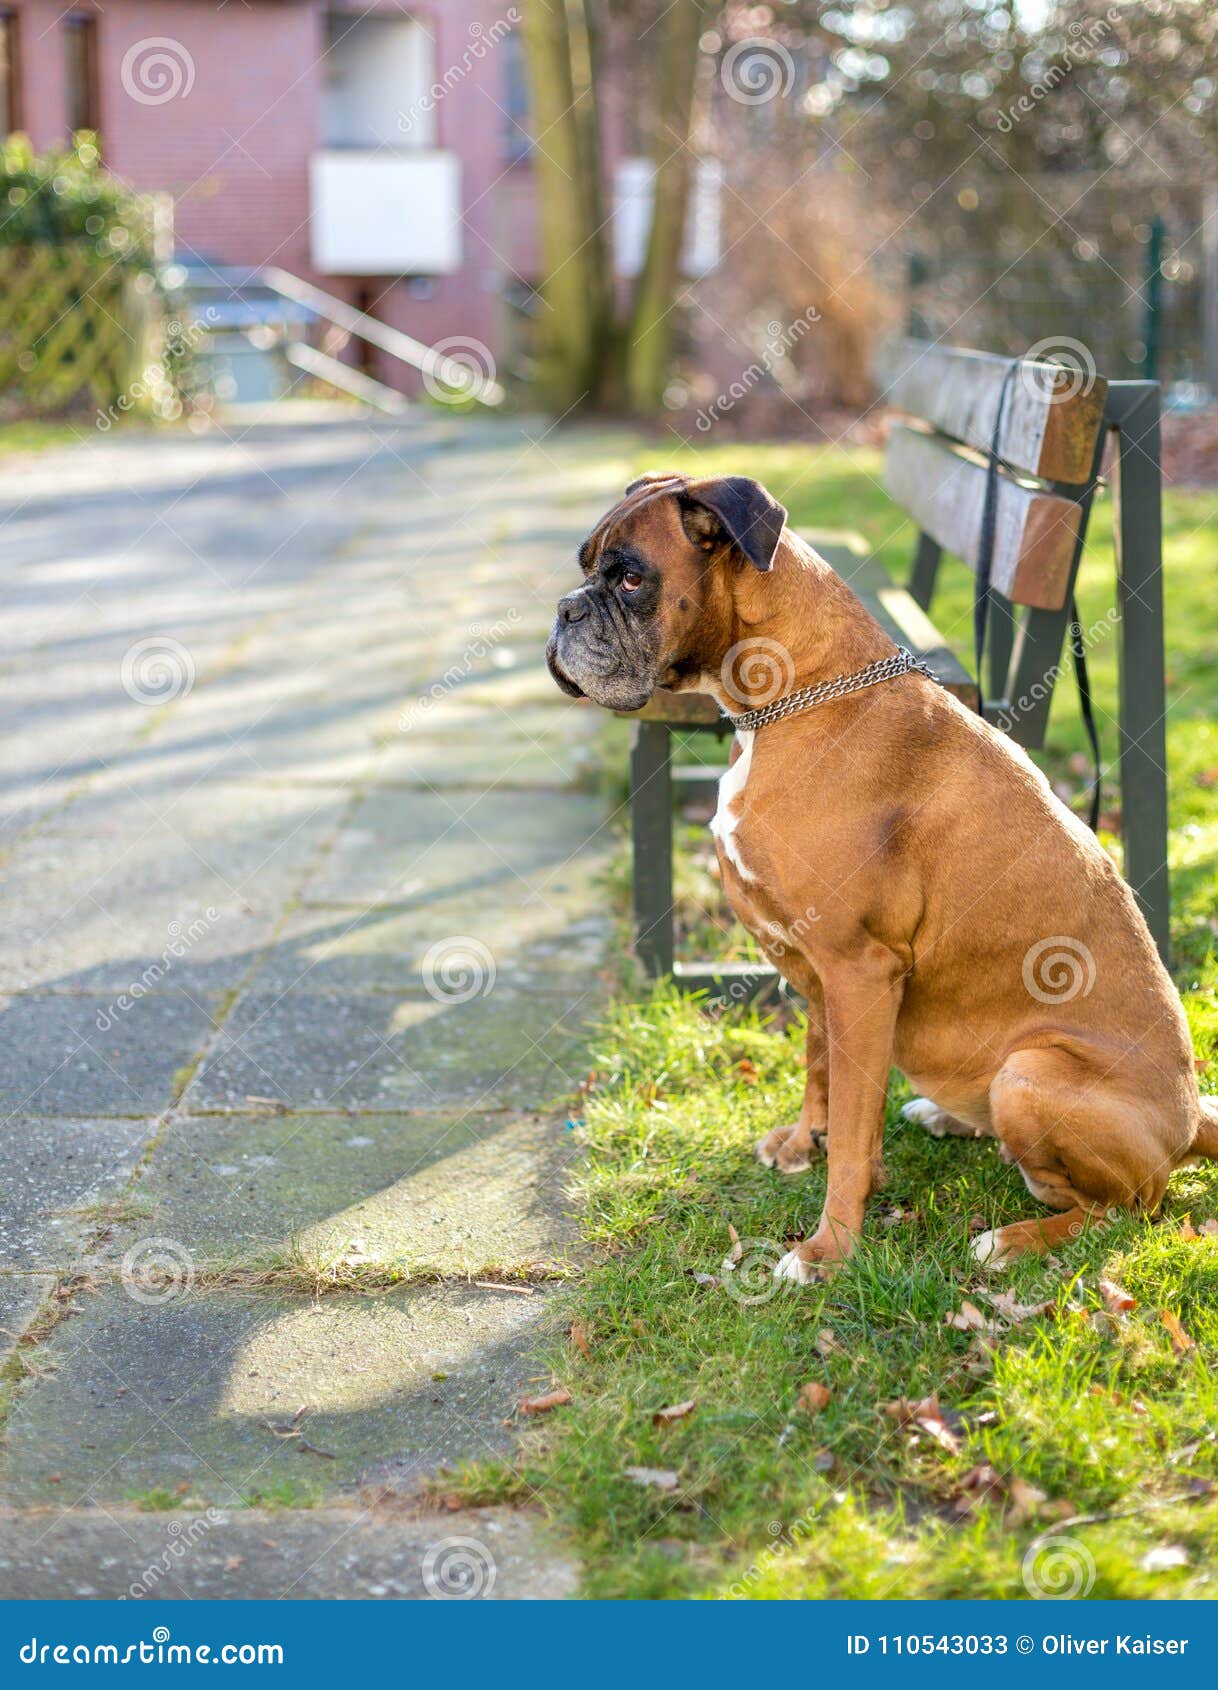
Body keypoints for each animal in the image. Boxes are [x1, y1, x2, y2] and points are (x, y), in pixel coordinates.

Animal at [547, 469, 1209, 1270]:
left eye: (631, 578)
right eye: (586, 566)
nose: (565, 609)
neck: (787, 697)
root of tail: (1189, 1124)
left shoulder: (860, 972)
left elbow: (856, 1132)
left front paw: (828, 1250)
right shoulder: (815, 963)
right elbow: (819, 1062)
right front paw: (805, 1142)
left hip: (1033, 1075)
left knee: (1123, 1209)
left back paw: (1014, 1237)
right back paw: (954, 1119)